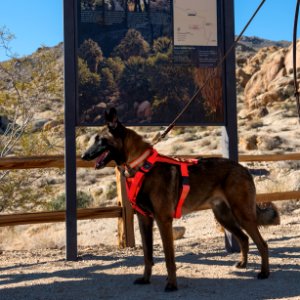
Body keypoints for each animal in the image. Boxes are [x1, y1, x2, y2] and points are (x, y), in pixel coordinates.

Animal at [81, 108, 278, 290]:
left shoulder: (163, 220)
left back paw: (264, 273)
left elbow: (169, 258)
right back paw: (243, 264)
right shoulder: (144, 220)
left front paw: (172, 284)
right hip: (224, 217)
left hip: (241, 214)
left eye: (101, 140)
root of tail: (243, 168)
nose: (83, 156)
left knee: (262, 244)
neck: (141, 164)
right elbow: (147, 255)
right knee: (244, 238)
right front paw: (146, 279)